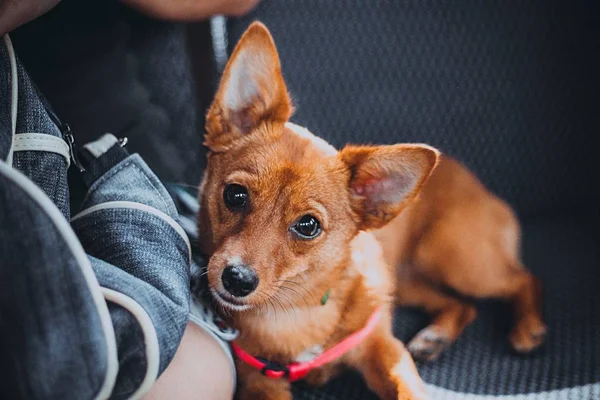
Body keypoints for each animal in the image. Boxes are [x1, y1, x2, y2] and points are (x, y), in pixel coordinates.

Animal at [199, 22, 548, 400]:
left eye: (308, 225)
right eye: (235, 195)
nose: (237, 278)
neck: (294, 310)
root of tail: (477, 183)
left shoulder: (384, 349)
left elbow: (407, 389)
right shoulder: (257, 379)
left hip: (452, 257)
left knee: (523, 277)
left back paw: (528, 329)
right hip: (408, 280)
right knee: (462, 303)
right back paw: (435, 337)